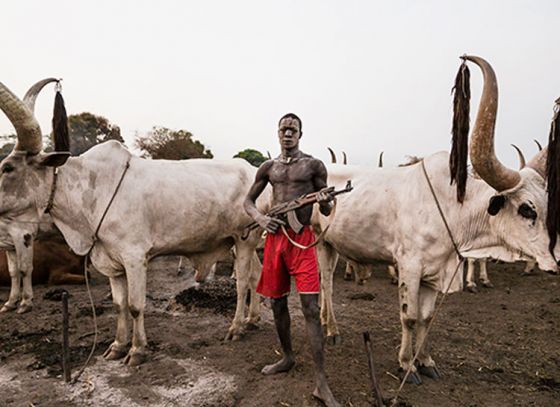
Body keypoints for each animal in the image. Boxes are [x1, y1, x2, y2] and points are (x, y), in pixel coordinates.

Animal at [0, 80, 270, 366]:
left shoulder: (135, 258)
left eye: (7, 168)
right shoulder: (112, 263)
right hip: (241, 241)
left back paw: (236, 327)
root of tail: (253, 171)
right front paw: (118, 346)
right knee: (255, 274)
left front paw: (137, 350)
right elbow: (119, 305)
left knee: (242, 282)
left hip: (244, 240)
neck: (93, 190)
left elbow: (135, 306)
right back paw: (252, 320)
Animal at [312, 55, 556, 384]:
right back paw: (332, 330)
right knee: (326, 283)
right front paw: (406, 364)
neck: (452, 208)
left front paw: (425, 360)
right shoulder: (410, 266)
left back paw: (328, 324)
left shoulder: (434, 272)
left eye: (546, 205)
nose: (553, 261)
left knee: (327, 283)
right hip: (318, 241)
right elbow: (409, 316)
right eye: (527, 209)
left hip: (332, 244)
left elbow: (426, 318)